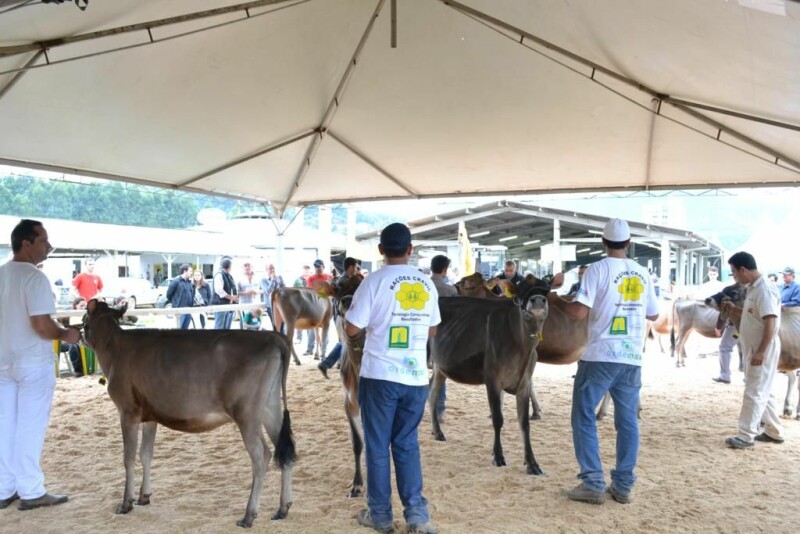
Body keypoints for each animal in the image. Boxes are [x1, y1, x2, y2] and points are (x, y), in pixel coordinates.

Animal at [83, 300, 296, 528]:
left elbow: (128, 457)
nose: (78, 333)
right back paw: (282, 509)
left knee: (261, 456)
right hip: (270, 408)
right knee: (285, 451)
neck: (114, 348)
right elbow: (146, 454)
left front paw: (126, 503)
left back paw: (249, 515)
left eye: (85, 319)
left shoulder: (127, 412)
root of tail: (273, 336)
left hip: (247, 414)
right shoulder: (150, 416)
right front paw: (144, 496)